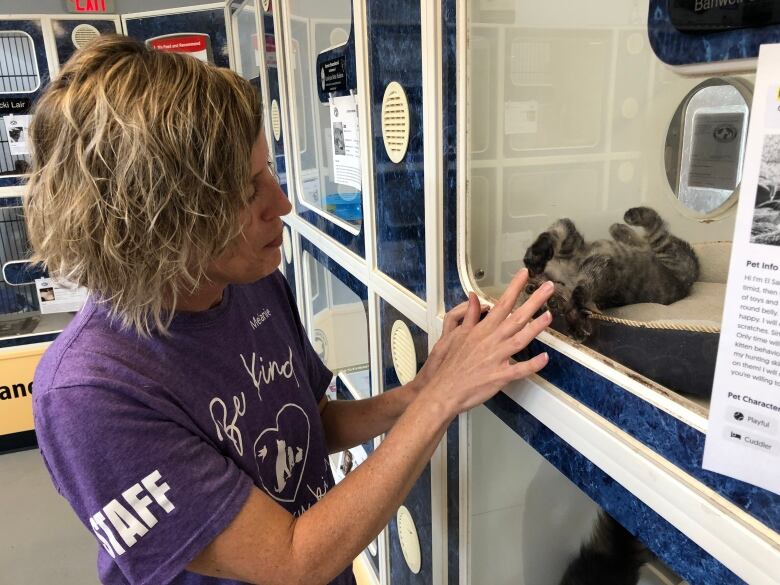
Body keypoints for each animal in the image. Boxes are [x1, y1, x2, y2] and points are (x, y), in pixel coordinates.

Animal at [520, 206, 696, 340]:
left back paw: (627, 219)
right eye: (543, 310)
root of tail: (690, 279)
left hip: (664, 251)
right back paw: (622, 227)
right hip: (663, 250)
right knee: (655, 233)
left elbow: (553, 232)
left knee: (654, 230)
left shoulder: (573, 244)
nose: (550, 302)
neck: (562, 276)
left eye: (529, 288)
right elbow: (579, 295)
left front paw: (536, 254)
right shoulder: (600, 270)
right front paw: (576, 321)